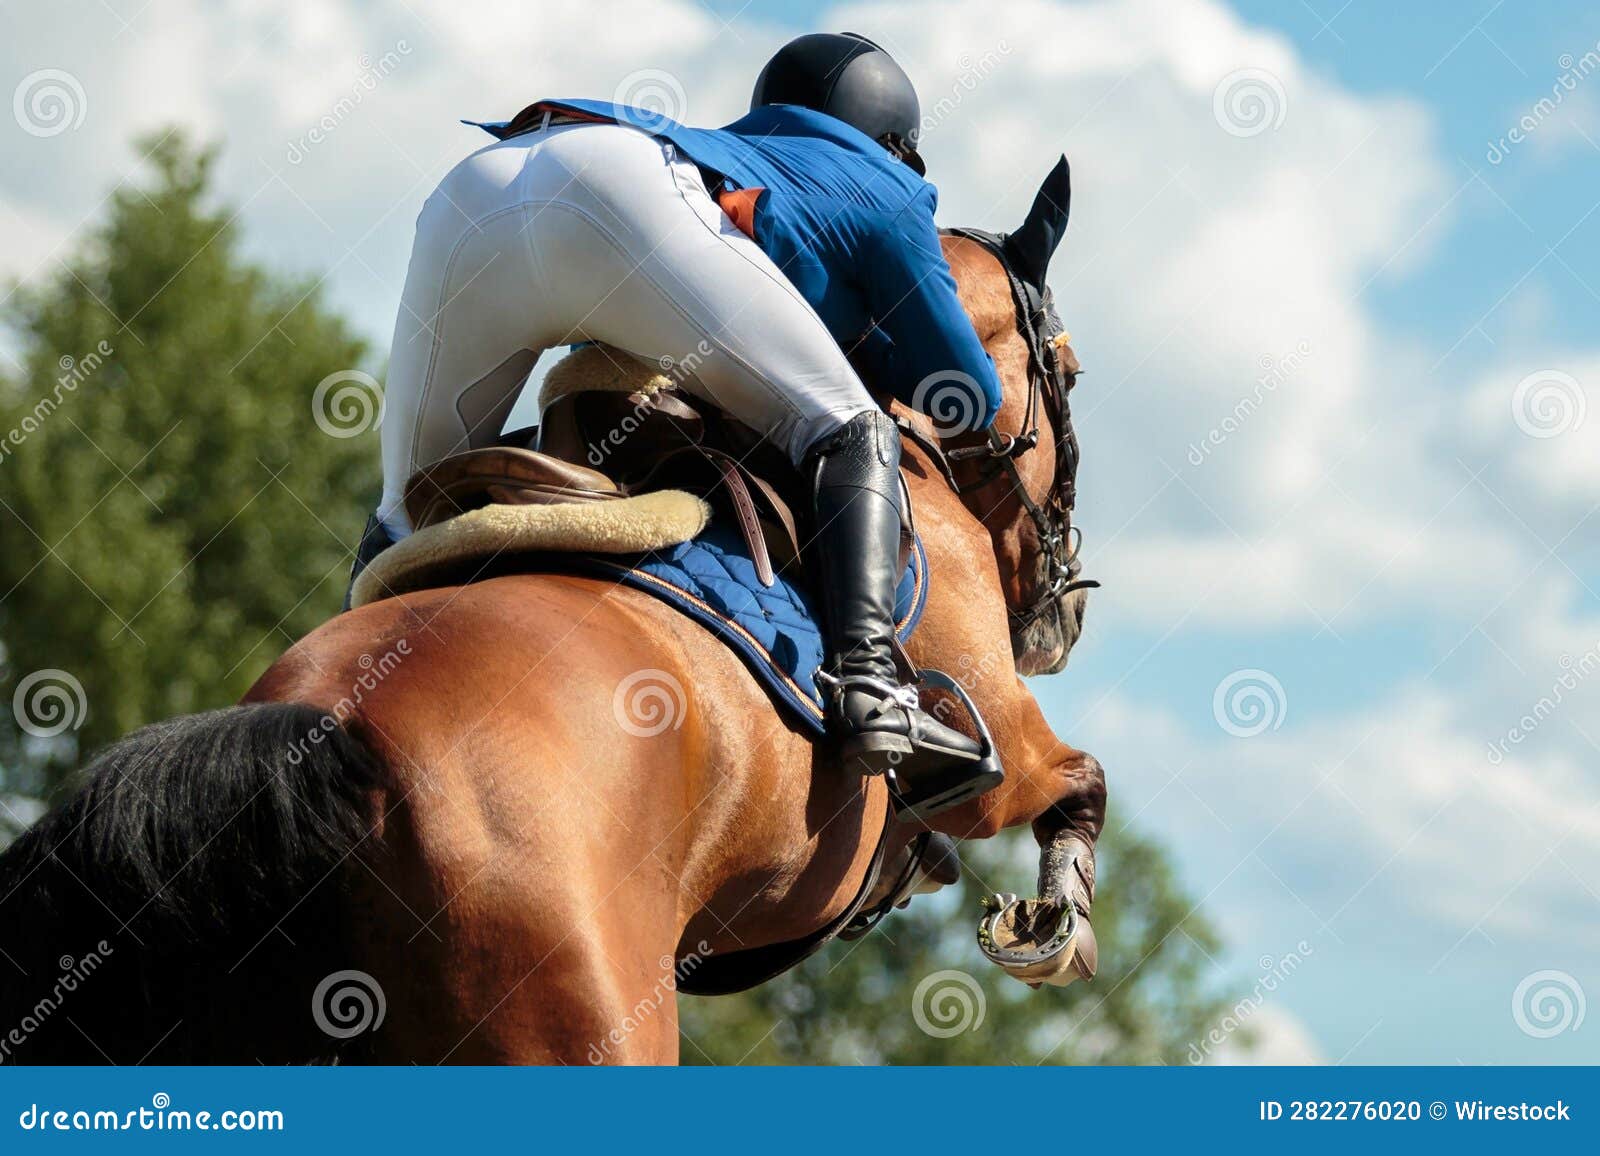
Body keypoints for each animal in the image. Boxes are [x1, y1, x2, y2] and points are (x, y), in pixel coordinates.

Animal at [0, 160, 1107, 1065]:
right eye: (1068, 371)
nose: (1065, 616)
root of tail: (330, 732)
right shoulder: (1001, 743)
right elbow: (1076, 779)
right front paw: (1057, 921)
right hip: (579, 1017)